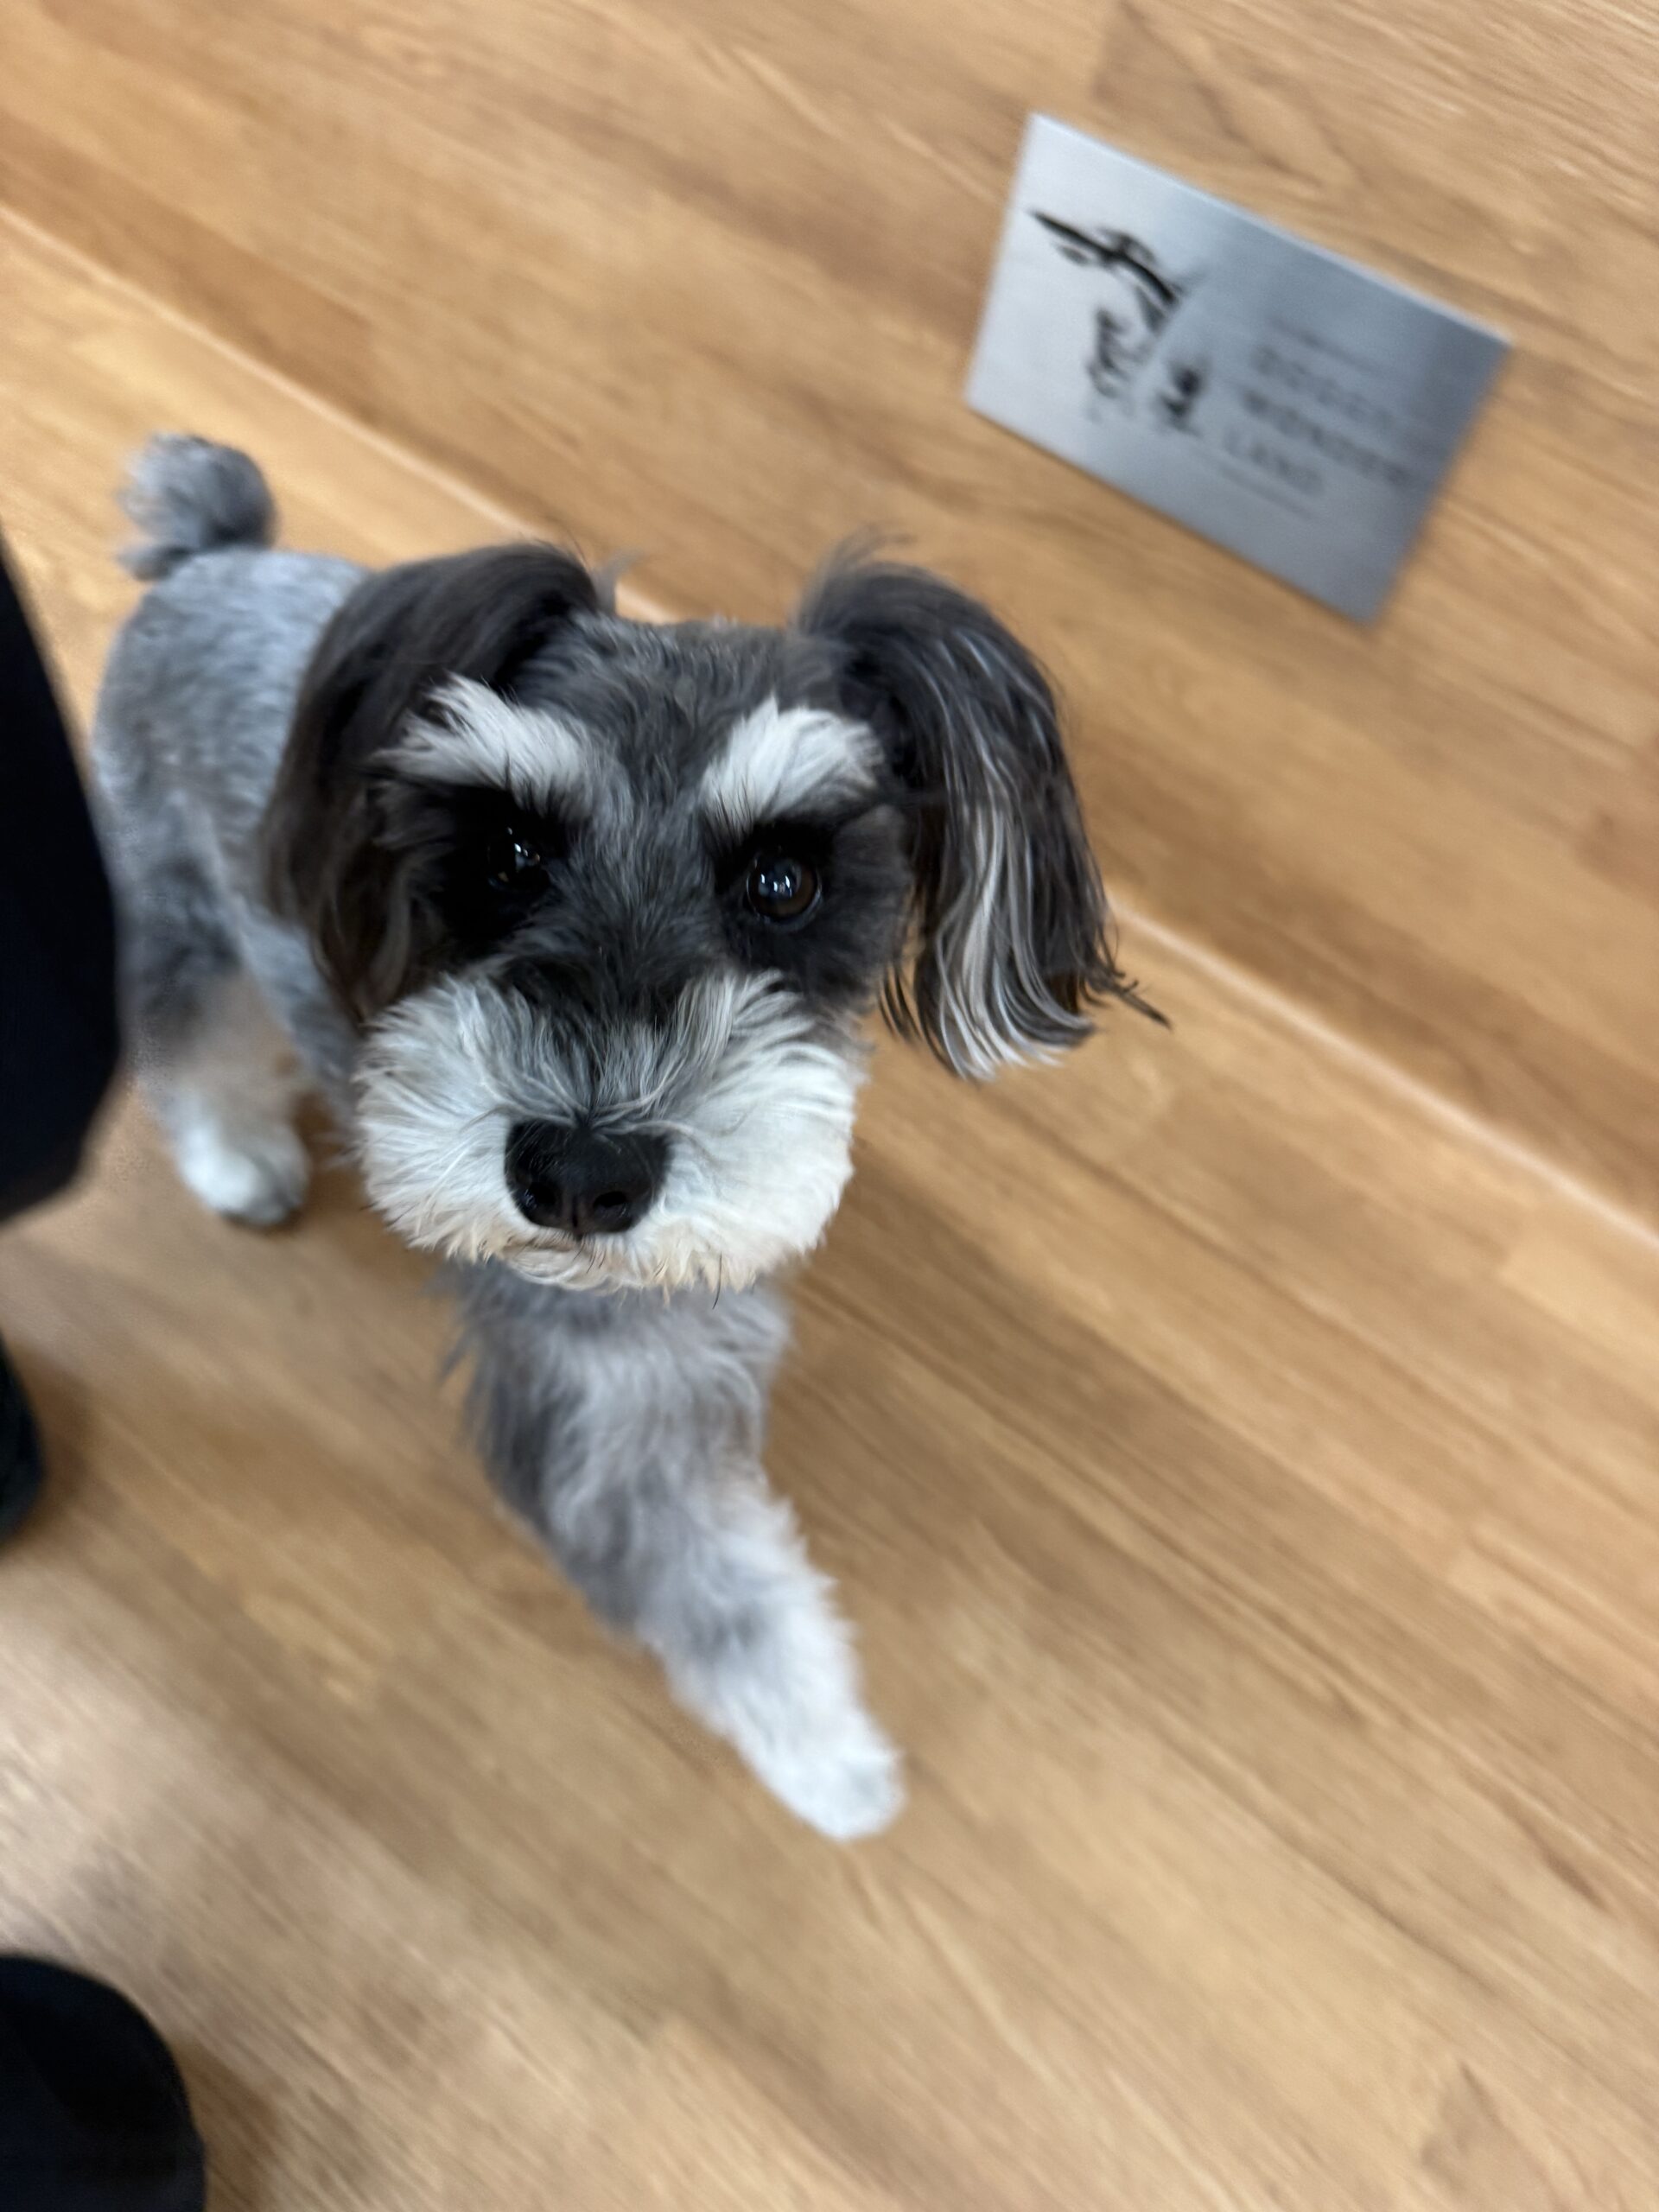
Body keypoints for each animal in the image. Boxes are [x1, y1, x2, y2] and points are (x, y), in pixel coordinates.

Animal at [91, 435, 1156, 1839]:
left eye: (785, 880)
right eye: (507, 850)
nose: (581, 1180)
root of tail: (206, 558)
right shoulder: (611, 1402)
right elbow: (721, 1594)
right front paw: (833, 1759)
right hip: (177, 906)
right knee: (183, 1033)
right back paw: (235, 1160)